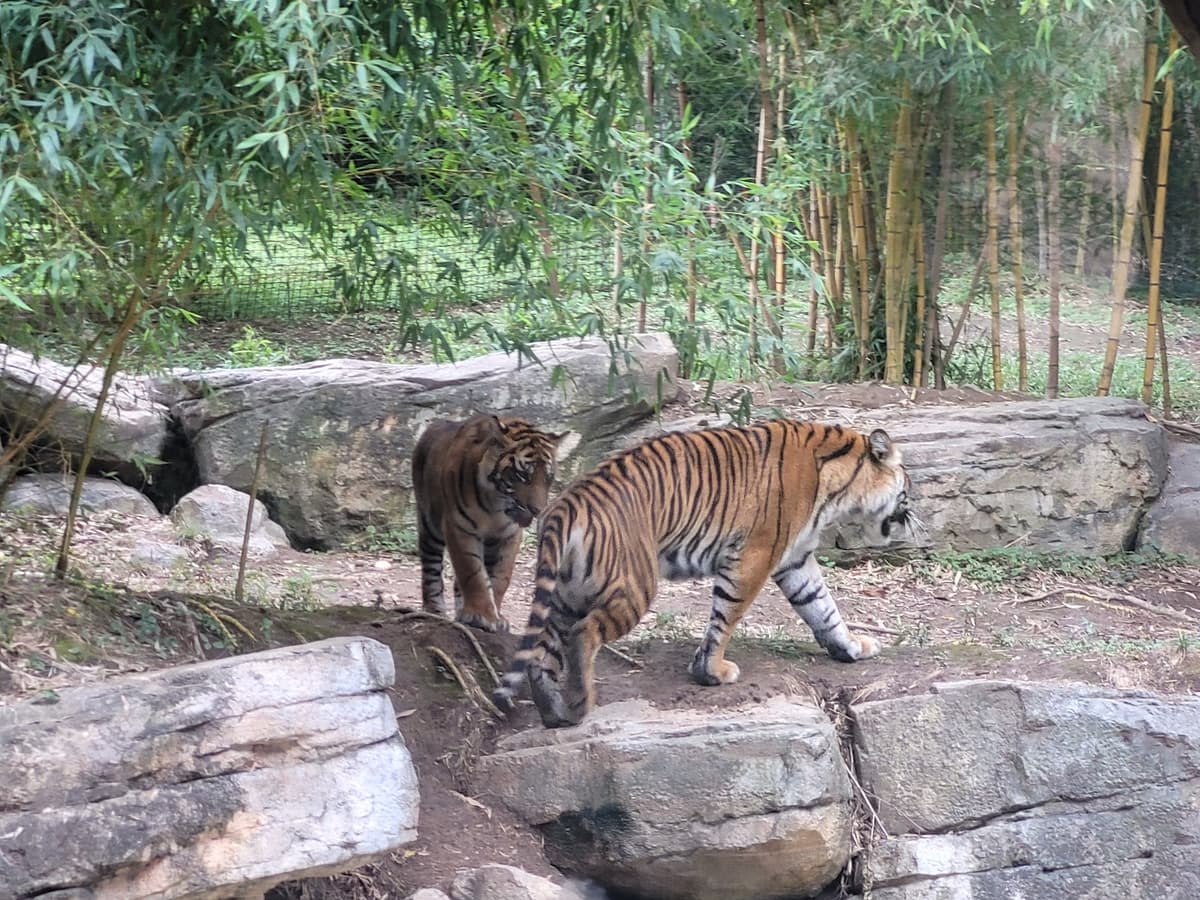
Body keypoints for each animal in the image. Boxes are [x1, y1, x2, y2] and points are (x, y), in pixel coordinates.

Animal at [412, 414, 568, 633]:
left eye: (549, 477)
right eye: (523, 475)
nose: (538, 510)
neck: (495, 505)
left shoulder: (509, 535)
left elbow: (501, 576)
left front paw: (495, 616)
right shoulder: (459, 527)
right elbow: (473, 573)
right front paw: (482, 615)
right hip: (429, 525)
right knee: (431, 569)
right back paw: (435, 610)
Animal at [492, 419, 916, 728]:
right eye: (907, 486)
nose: (913, 514)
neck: (839, 485)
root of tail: (567, 504)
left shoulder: (795, 560)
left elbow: (822, 608)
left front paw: (850, 647)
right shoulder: (754, 556)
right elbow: (726, 616)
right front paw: (712, 671)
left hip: (564, 594)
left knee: (541, 652)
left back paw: (554, 713)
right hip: (634, 585)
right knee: (583, 634)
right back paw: (580, 705)